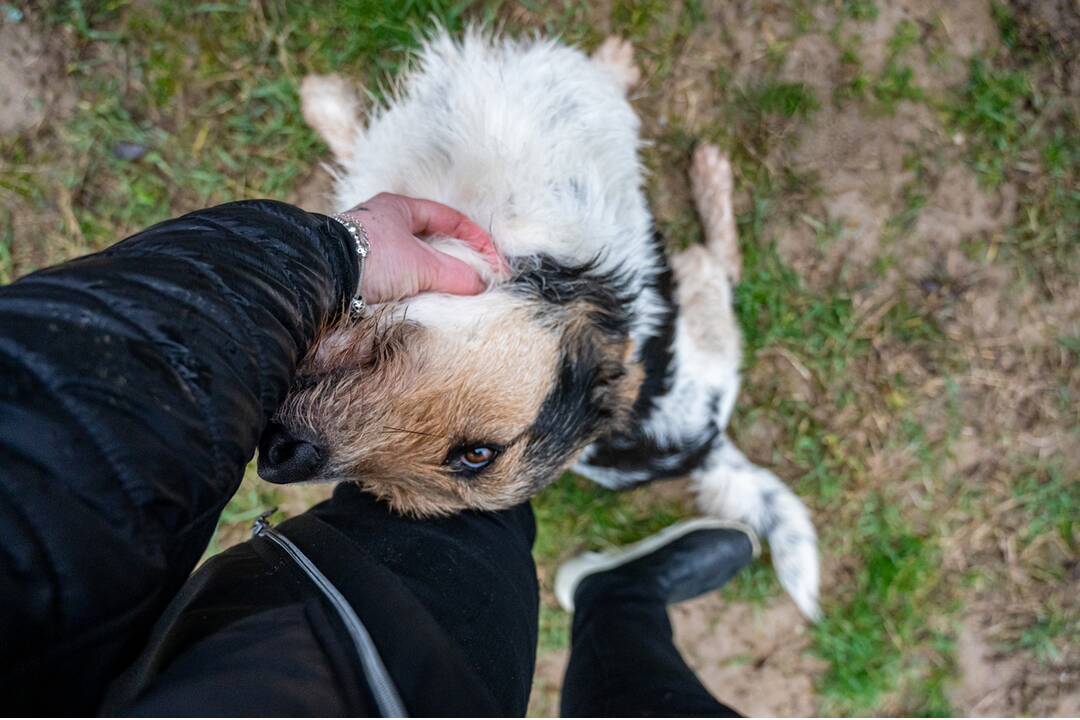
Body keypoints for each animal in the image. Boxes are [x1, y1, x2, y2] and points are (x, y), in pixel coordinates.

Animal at [261, 31, 816, 617]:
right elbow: (363, 152)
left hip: (700, 295)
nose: (280, 457)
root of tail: (706, 444)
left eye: (477, 456)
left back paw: (711, 180)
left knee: (723, 264)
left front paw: (617, 66)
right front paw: (325, 103)